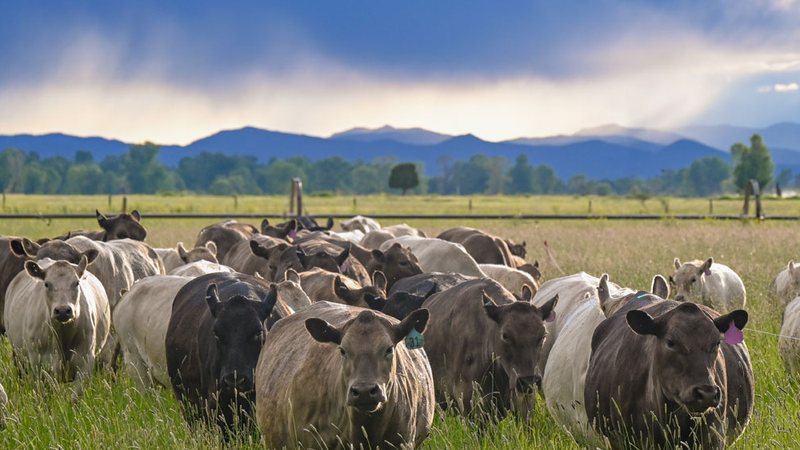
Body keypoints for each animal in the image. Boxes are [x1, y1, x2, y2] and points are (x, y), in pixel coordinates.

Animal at [4, 257, 110, 399]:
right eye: (47, 284)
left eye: (77, 283)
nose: (63, 310)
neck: (63, 335)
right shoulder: (38, 362)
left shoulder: (86, 360)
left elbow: (76, 397)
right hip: (19, 355)